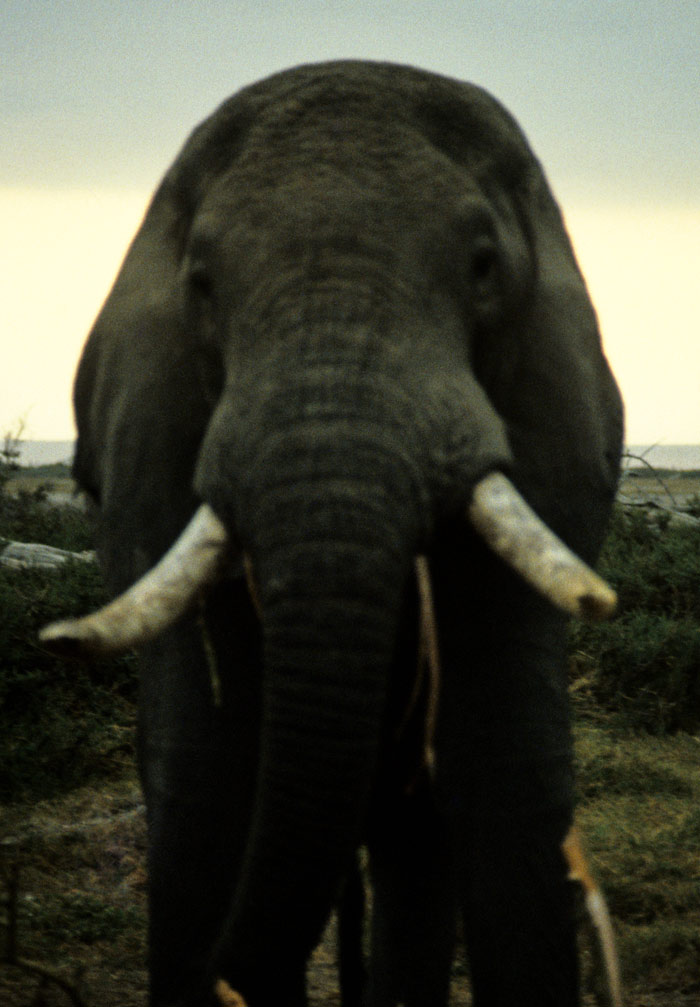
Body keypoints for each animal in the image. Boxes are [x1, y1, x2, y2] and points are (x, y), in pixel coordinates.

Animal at [42, 60, 624, 1007]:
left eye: (483, 265)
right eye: (201, 285)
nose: (228, 974)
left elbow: (505, 765)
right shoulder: (150, 450)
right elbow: (204, 773)